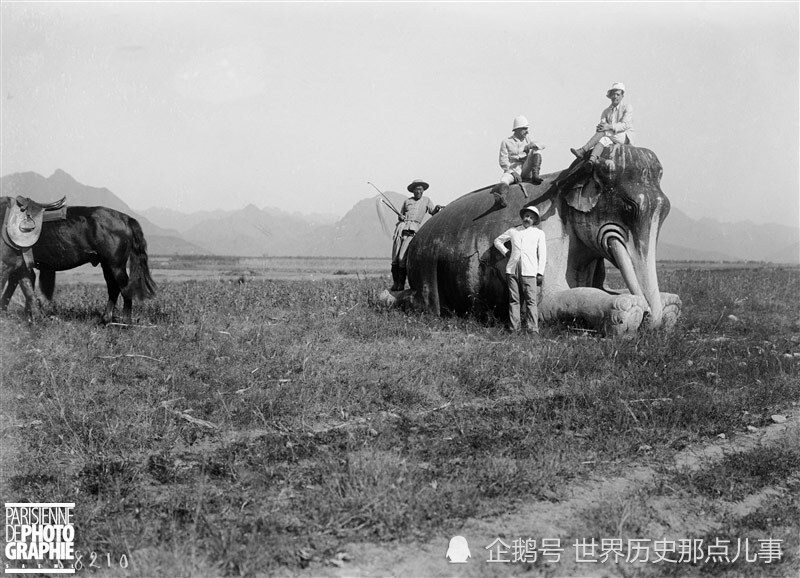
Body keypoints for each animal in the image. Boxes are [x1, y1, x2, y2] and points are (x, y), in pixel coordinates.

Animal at [0, 197, 156, 324]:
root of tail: (126, 219)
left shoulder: (6, 265)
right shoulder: (19, 267)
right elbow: (25, 289)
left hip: (116, 266)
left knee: (125, 289)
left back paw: (125, 323)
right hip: (107, 265)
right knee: (113, 289)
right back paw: (106, 319)